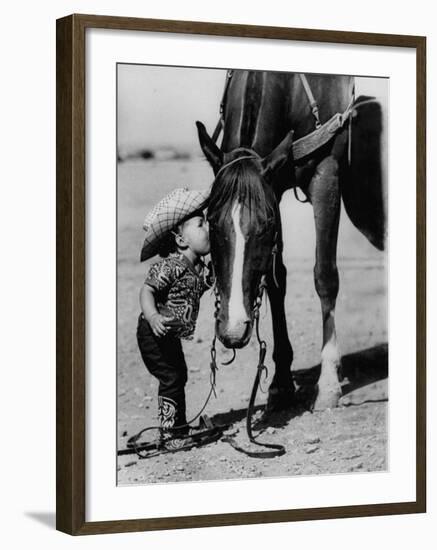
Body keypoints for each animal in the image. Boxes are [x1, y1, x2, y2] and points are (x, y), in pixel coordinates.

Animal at [196, 69, 384, 412]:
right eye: (211, 220)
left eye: (265, 224)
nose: (233, 329)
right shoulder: (275, 186)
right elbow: (275, 280)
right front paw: (281, 383)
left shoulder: (326, 174)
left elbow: (325, 277)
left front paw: (328, 384)